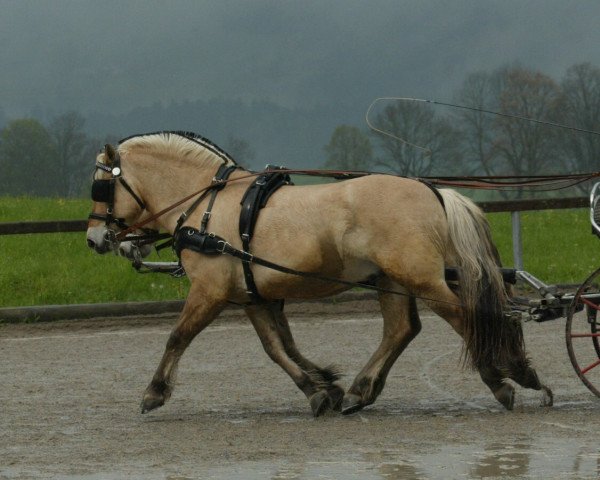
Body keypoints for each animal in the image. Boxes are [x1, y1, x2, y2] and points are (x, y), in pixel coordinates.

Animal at [85, 129, 552, 414]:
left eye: (101, 186)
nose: (96, 239)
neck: (208, 206)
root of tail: (432, 190)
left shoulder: (211, 292)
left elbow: (178, 336)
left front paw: (154, 392)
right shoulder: (252, 295)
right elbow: (277, 348)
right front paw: (319, 388)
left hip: (422, 277)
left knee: (464, 316)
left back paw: (502, 380)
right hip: (392, 279)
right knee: (401, 328)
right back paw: (362, 389)